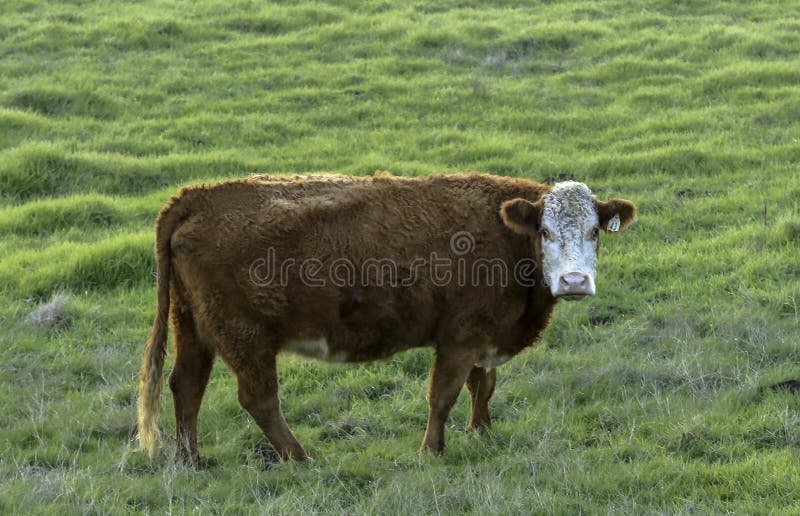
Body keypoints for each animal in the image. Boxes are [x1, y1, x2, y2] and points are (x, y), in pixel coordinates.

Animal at [139, 172, 636, 464]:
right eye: (546, 231)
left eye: (594, 230)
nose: (574, 281)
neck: (504, 236)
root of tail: (196, 198)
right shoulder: (460, 337)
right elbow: (443, 395)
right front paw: (432, 450)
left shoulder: (483, 335)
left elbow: (483, 386)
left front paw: (481, 431)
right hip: (246, 337)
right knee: (258, 399)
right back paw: (299, 457)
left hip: (194, 326)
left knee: (186, 386)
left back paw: (190, 460)